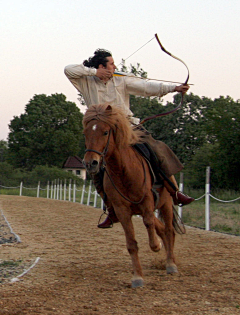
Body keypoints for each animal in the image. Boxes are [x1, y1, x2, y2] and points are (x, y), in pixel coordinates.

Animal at [82, 104, 184, 288]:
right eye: (86, 133)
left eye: (105, 132)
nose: (90, 163)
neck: (124, 171)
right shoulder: (122, 211)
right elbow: (131, 244)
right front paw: (137, 277)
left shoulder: (147, 202)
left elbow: (149, 223)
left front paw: (155, 246)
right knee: (162, 229)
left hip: (165, 203)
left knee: (169, 230)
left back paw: (171, 264)